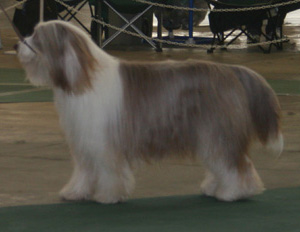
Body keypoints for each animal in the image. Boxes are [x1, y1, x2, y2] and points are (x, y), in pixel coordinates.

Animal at [16, 20, 284, 204]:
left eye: (36, 37)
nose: (16, 44)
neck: (81, 77)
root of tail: (233, 70)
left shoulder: (104, 142)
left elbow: (109, 171)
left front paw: (108, 196)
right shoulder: (84, 142)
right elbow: (84, 172)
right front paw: (75, 192)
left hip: (218, 131)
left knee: (235, 164)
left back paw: (232, 192)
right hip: (209, 134)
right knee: (223, 163)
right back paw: (213, 188)